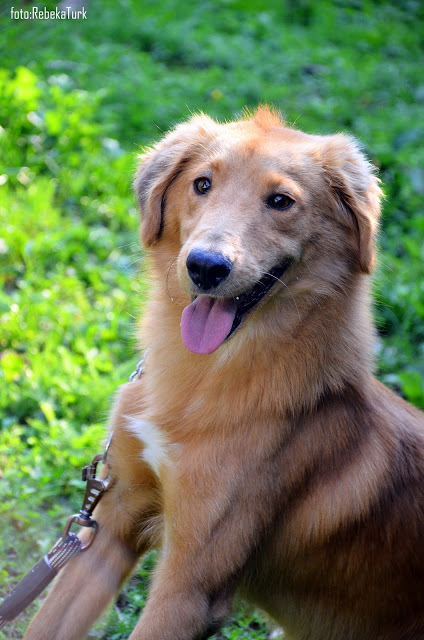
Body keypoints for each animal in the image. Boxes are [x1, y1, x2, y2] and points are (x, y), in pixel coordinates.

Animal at [25, 107, 424, 640]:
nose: (205, 267)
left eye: (281, 201)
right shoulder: (108, 526)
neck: (200, 381)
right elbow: (46, 622)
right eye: (202, 184)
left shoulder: (190, 586)